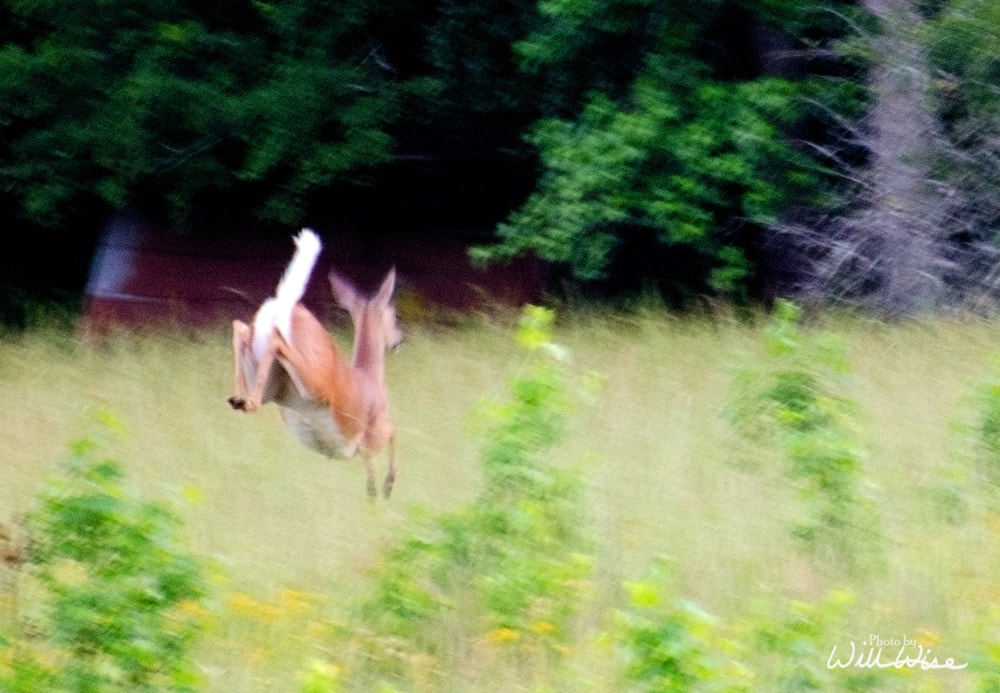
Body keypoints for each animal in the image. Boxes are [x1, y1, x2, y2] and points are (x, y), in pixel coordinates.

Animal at [227, 230, 402, 500]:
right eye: (393, 313)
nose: (398, 340)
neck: (370, 374)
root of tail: (282, 304)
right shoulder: (371, 434)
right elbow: (393, 434)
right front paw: (383, 489)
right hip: (315, 383)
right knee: (276, 341)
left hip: (270, 382)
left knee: (239, 327)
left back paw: (239, 399)